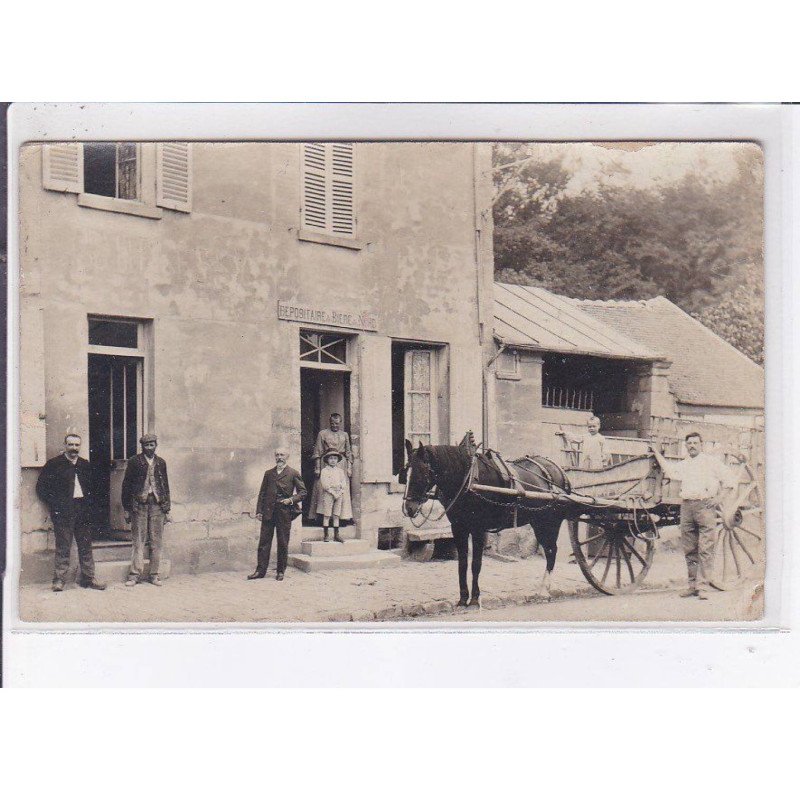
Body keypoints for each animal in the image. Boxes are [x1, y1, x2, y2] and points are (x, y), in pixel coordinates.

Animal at [406, 438, 568, 608]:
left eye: (422, 472)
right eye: (405, 471)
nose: (409, 507)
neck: (467, 480)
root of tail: (558, 471)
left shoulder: (478, 528)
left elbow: (476, 564)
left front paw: (475, 598)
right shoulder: (458, 528)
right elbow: (462, 563)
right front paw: (463, 598)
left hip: (549, 523)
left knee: (551, 551)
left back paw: (544, 589)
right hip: (538, 522)